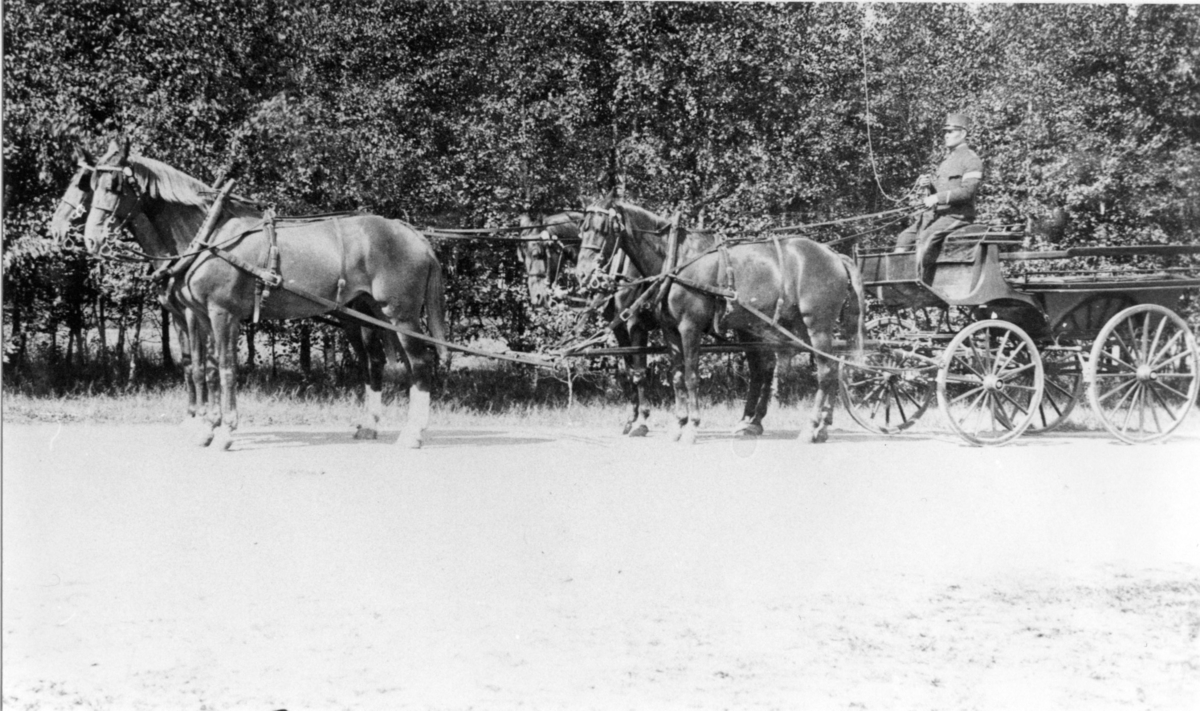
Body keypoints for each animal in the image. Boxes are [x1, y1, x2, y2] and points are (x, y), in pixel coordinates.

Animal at [82, 141, 448, 450]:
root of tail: (411, 232)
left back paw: (412, 434)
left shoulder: (222, 314)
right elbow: (205, 367)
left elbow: (225, 367)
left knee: (419, 364)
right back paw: (370, 426)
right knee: (375, 363)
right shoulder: (198, 315)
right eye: (91, 185)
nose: (90, 239)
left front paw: (225, 431)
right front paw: (206, 427)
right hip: (365, 315)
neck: (210, 235)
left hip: (401, 315)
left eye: (114, 186)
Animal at [575, 196, 865, 444]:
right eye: (583, 229)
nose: (583, 273)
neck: (676, 259)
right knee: (823, 369)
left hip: (818, 325)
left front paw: (691, 427)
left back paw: (810, 427)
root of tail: (834, 255)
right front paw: (678, 425)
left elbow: (690, 376)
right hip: (799, 328)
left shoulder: (689, 327)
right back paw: (819, 428)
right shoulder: (670, 331)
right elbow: (677, 377)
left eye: (603, 229)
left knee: (825, 372)